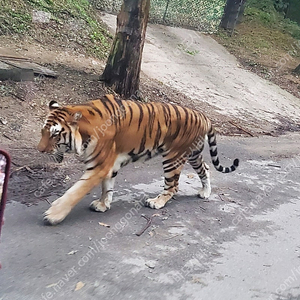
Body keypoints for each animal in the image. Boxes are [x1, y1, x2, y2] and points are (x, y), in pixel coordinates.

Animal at [37, 94, 239, 225]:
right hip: (193, 154)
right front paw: (103, 205)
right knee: (206, 168)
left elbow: (75, 191)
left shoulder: (99, 166)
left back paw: (156, 202)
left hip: (173, 157)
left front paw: (54, 214)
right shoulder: (109, 165)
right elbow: (106, 187)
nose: (39, 150)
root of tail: (204, 116)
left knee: (173, 186)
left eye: (55, 134)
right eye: (43, 132)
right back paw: (205, 192)